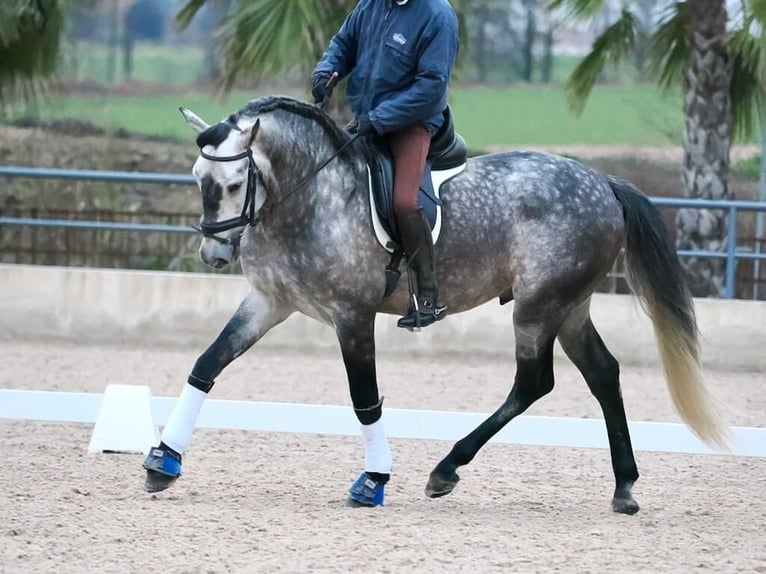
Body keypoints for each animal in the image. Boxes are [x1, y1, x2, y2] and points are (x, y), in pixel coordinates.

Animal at [141, 97, 728, 516]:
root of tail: (603, 183)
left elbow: (365, 400)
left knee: (534, 383)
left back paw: (446, 469)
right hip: (570, 307)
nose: (214, 254)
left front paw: (373, 482)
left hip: (539, 307)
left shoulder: (352, 316)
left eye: (234, 182)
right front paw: (163, 462)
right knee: (603, 373)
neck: (311, 196)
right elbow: (207, 364)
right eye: (198, 179)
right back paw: (624, 487)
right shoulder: (268, 301)